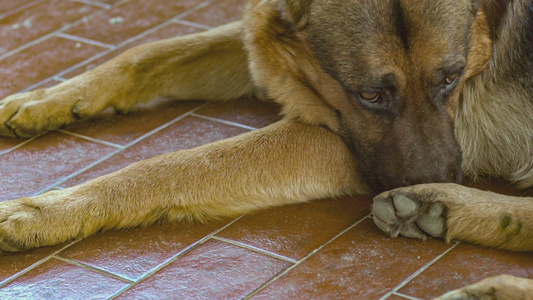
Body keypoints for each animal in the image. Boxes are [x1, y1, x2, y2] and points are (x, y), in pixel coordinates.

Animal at [0, 0, 528, 298]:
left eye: (451, 79)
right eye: (370, 95)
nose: (444, 173)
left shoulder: (328, 140)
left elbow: (166, 165)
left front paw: (47, 209)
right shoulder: (259, 44)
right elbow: (147, 54)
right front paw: (48, 98)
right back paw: (436, 210)